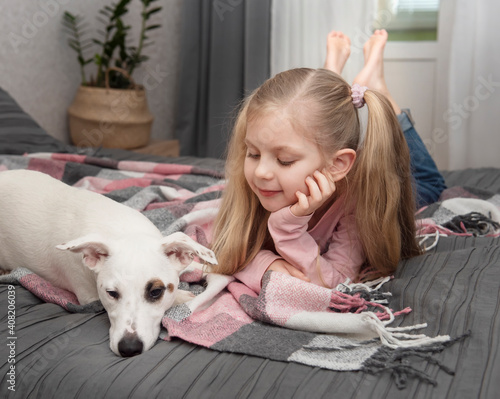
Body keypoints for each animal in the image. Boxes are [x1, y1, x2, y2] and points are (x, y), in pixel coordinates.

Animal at [0, 170, 219, 358]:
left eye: (156, 292)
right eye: (111, 293)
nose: (129, 348)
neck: (126, 232)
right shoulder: (89, 297)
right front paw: (184, 295)